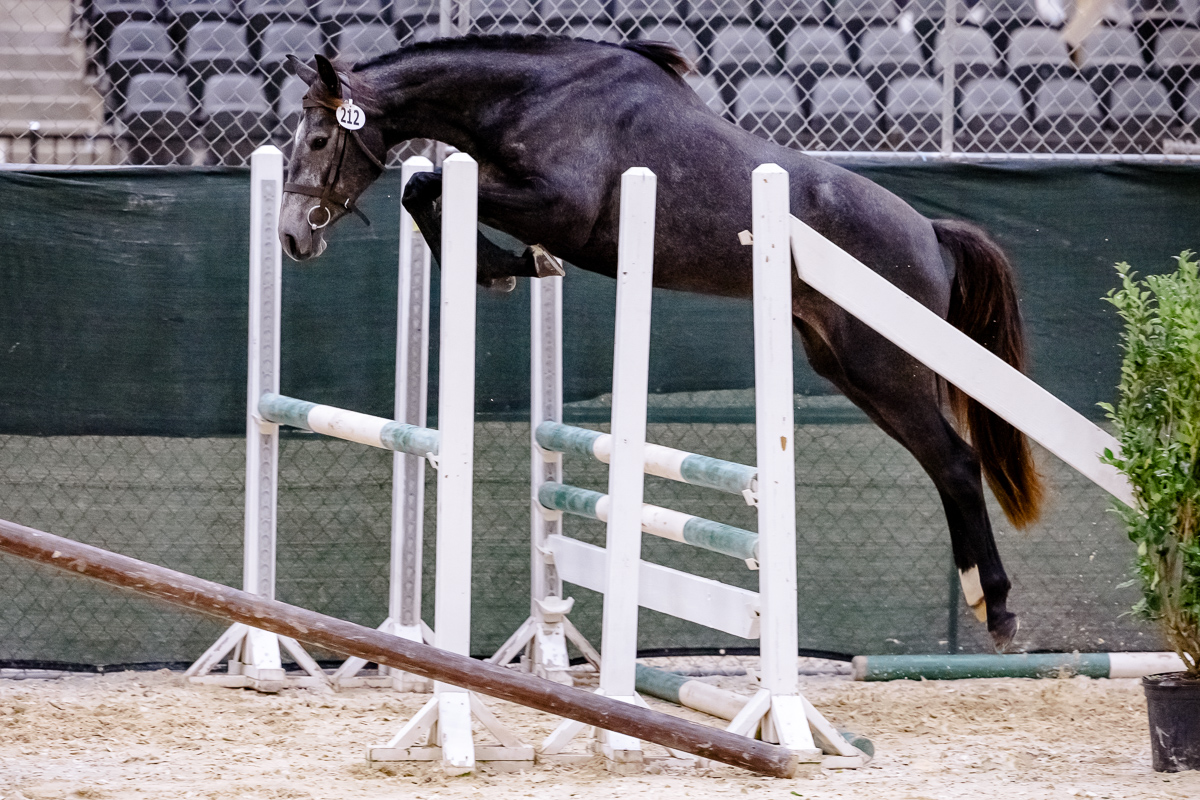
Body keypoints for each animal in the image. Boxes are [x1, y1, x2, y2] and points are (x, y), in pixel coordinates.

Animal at [276, 35, 1044, 652]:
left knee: (956, 462)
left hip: (887, 366)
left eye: (317, 142)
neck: (533, 98)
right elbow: (427, 194)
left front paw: (504, 267)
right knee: (944, 462)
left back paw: (1000, 610)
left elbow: (431, 188)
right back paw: (984, 599)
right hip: (848, 367)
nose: (291, 236)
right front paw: (512, 266)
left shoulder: (560, 206)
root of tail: (931, 234)